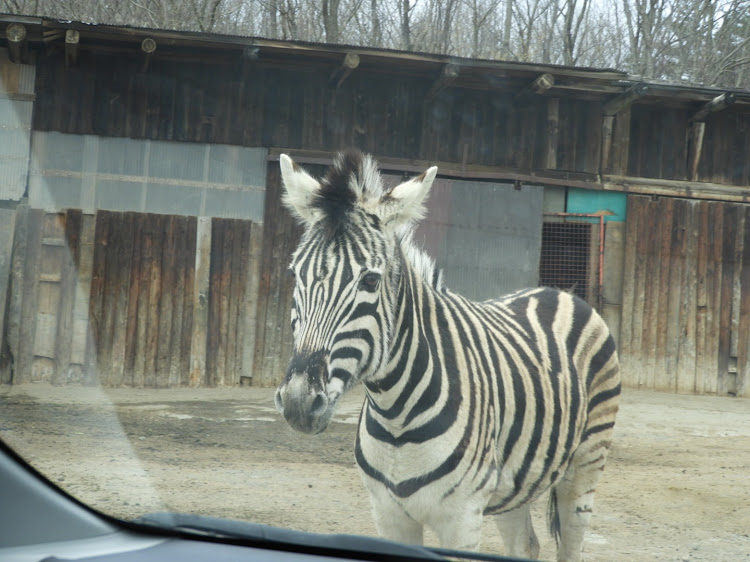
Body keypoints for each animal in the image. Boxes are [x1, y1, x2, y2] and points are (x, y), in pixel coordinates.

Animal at [276, 150, 624, 560]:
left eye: (371, 280)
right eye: (294, 274)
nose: (299, 401)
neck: (395, 417)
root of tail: (558, 291)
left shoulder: (461, 518)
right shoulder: (388, 514)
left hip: (586, 462)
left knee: (571, 540)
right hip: (516, 479)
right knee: (525, 544)